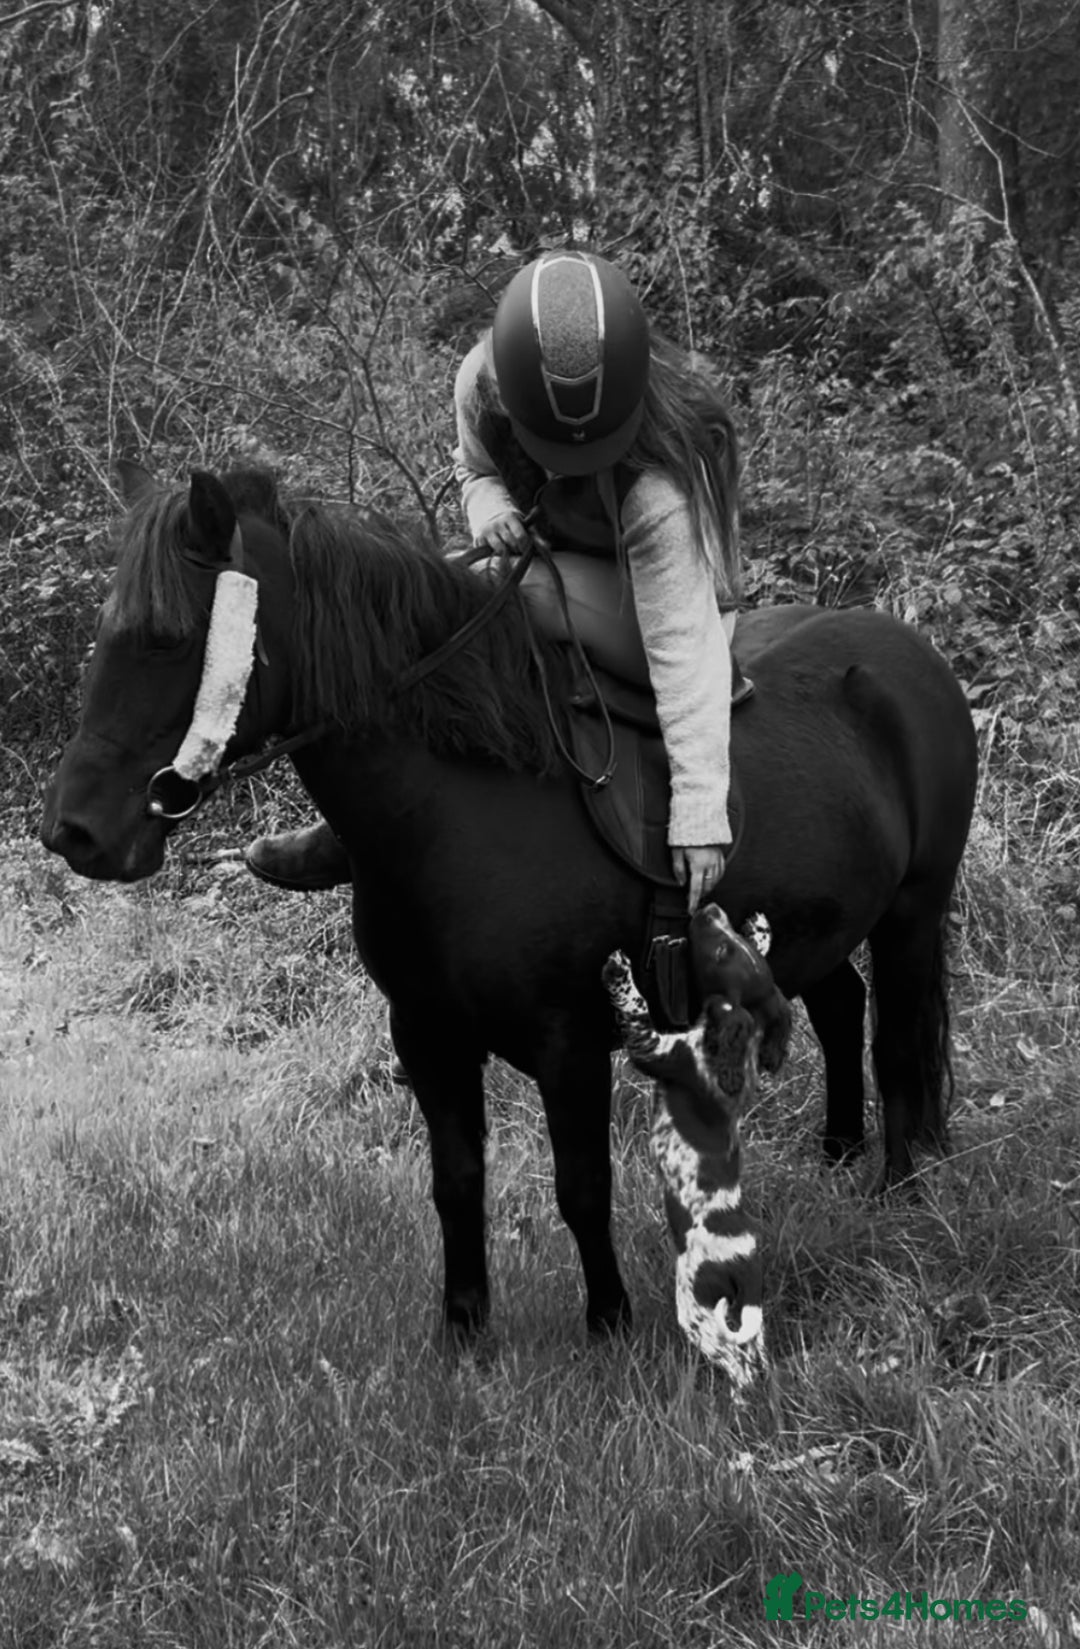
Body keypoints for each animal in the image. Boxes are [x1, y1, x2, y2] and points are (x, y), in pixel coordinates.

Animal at [41, 464, 978, 1352]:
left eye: (167, 639)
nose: (74, 832)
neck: (460, 804)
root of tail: (914, 658)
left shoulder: (570, 1040)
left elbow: (581, 1186)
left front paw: (608, 1324)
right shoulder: (426, 1033)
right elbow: (456, 1184)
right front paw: (464, 1330)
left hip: (912, 912)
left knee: (899, 1045)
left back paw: (897, 1187)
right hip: (820, 929)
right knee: (843, 1005)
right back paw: (839, 1156)